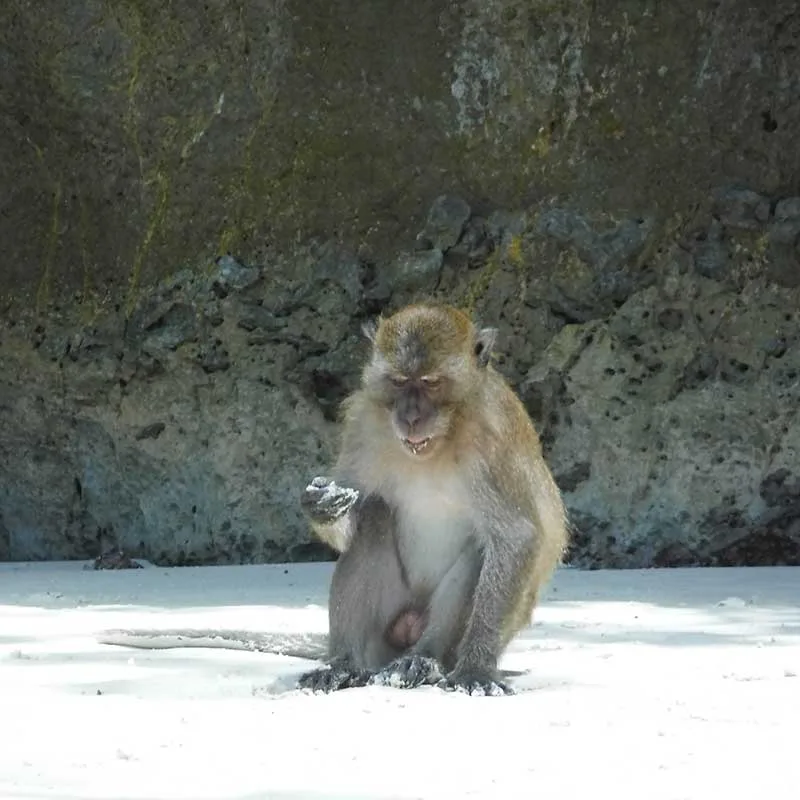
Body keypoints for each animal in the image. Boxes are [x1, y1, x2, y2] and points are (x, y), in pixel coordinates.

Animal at [297, 302, 568, 696]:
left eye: (430, 382)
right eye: (398, 382)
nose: (410, 417)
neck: (442, 438)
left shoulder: (494, 436)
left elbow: (516, 537)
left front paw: (477, 667)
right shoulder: (363, 422)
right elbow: (353, 509)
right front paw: (322, 507)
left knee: (479, 549)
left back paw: (423, 660)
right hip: (386, 632)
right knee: (375, 514)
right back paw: (345, 663)